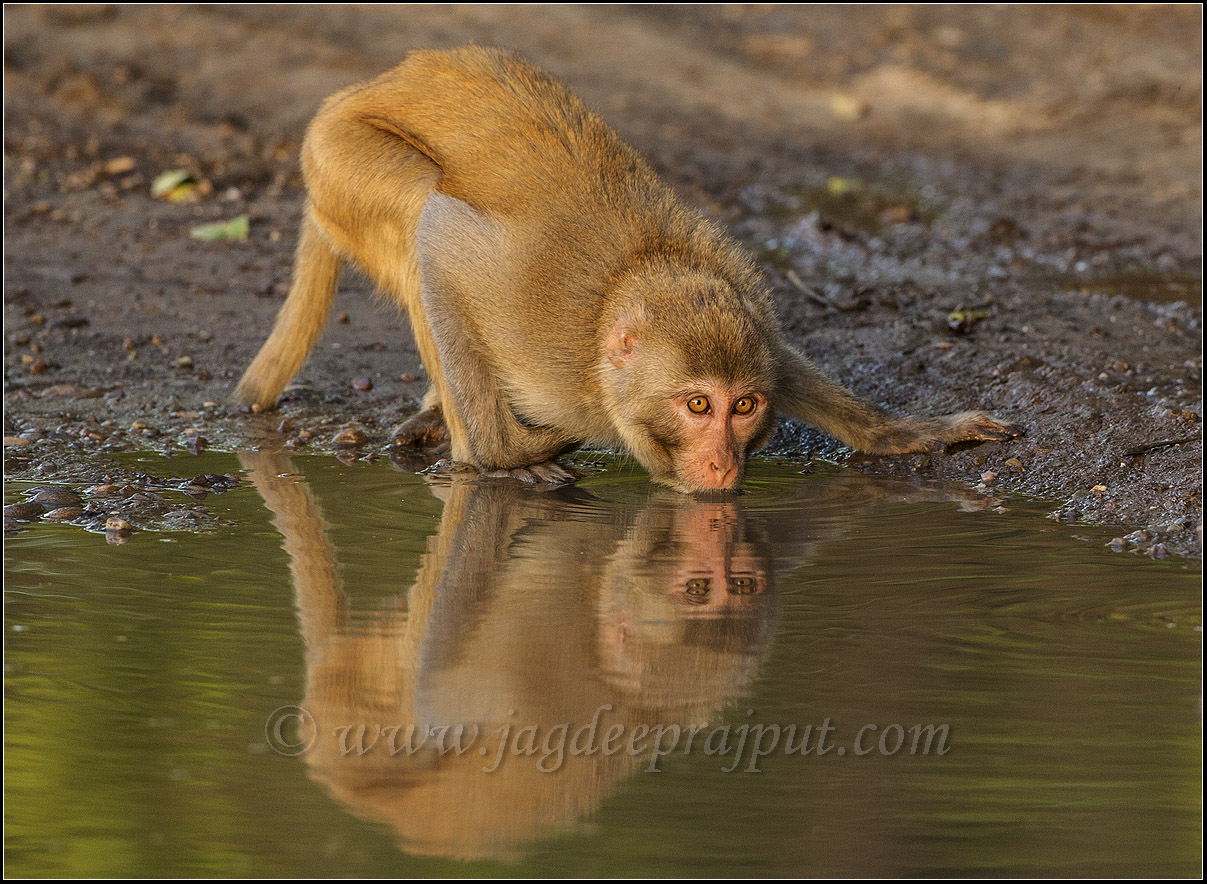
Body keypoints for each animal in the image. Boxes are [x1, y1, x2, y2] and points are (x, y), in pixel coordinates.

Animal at [235, 46, 1021, 492]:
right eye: (697, 406)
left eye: (743, 406)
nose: (722, 464)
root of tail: (363, 88)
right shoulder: (530, 310)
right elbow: (440, 236)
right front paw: (498, 456)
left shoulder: (756, 332)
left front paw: (912, 432)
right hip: (341, 158)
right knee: (418, 200)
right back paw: (484, 447)